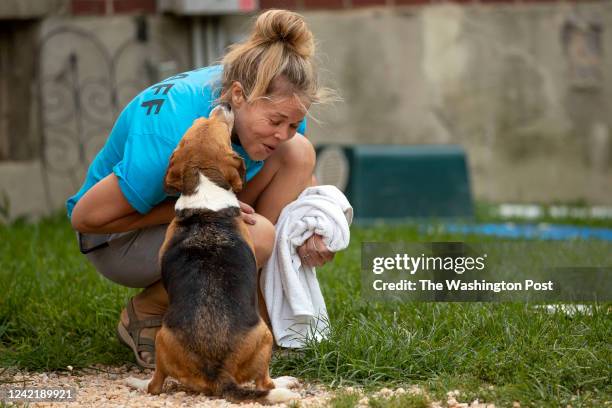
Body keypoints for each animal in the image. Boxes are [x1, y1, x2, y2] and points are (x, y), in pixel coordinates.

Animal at [129, 104, 298, 402]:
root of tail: (218, 373)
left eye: (197, 123)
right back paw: (282, 382)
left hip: (163, 337)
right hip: (263, 336)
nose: (225, 105)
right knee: (264, 383)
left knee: (157, 384)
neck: (204, 189)